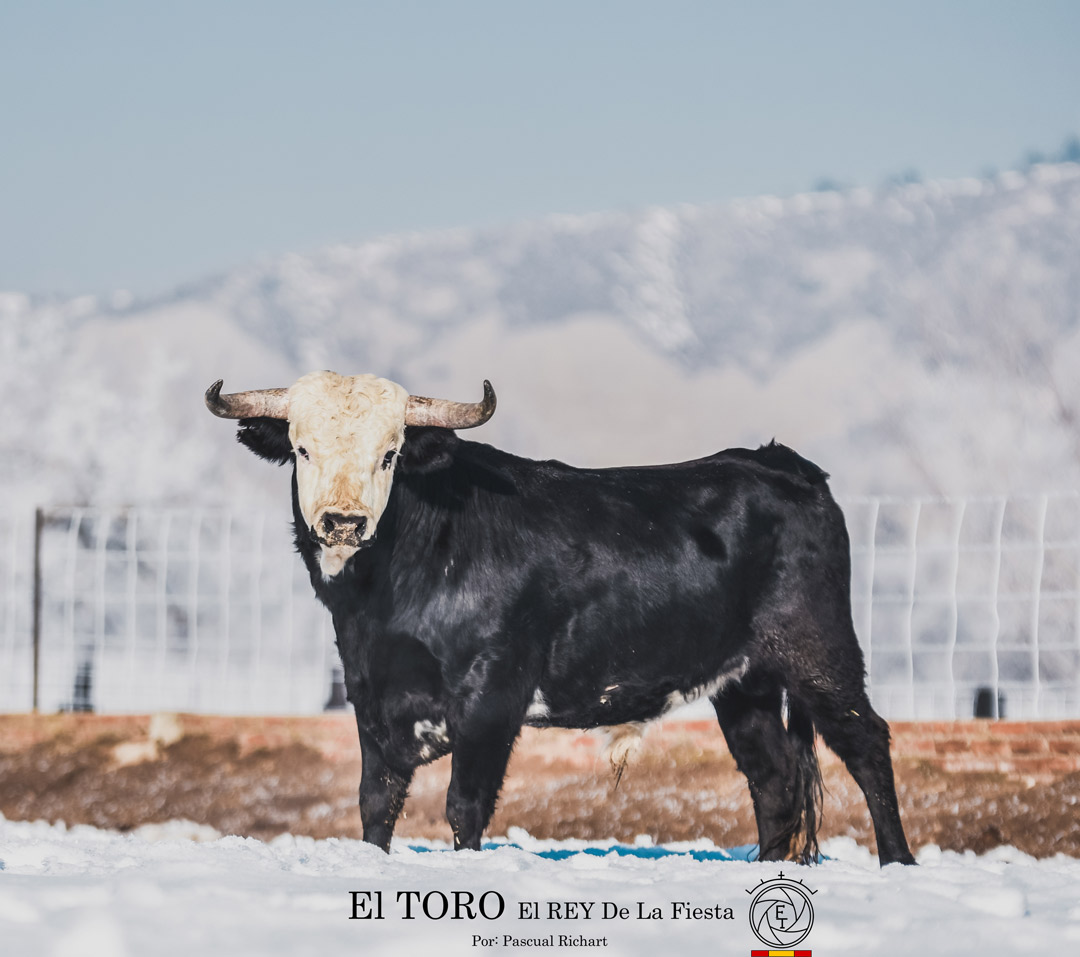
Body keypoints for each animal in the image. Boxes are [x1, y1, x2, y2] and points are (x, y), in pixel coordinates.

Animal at [205, 371, 915, 866]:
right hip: (745, 681)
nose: (344, 522)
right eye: (302, 449)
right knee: (774, 777)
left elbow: (465, 806)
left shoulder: (492, 698)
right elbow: (376, 803)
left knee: (866, 745)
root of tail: (779, 460)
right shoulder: (370, 696)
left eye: (391, 453)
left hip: (819, 651)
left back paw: (897, 862)